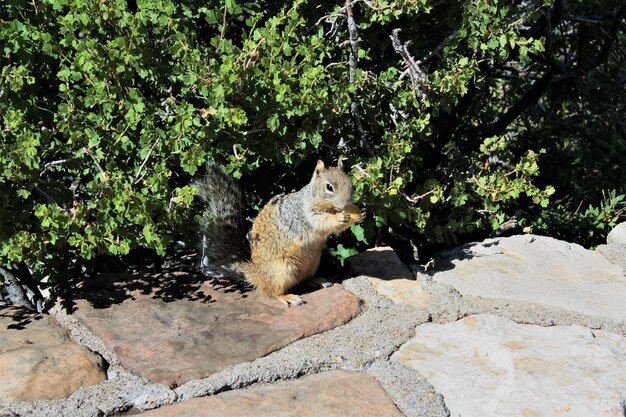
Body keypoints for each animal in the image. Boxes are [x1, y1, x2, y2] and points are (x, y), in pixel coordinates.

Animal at [193, 159, 364, 306]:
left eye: (350, 183)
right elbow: (322, 222)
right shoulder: (304, 215)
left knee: (301, 280)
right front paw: (339, 217)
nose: (347, 204)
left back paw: (317, 281)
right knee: (273, 292)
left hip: (312, 263)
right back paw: (288, 297)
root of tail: (259, 276)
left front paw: (360, 213)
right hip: (280, 271)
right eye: (329, 187)